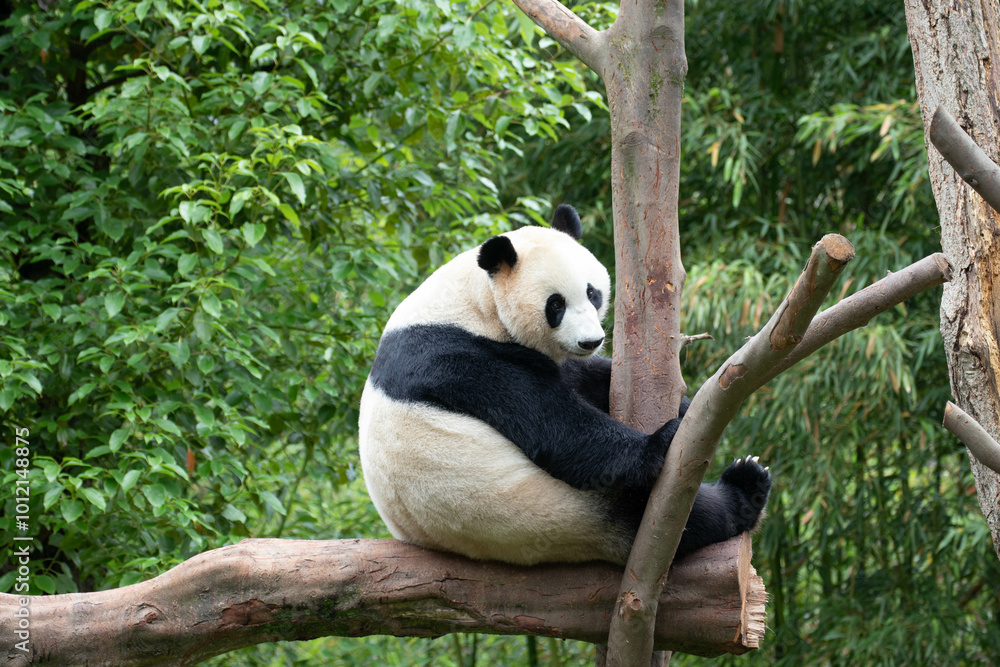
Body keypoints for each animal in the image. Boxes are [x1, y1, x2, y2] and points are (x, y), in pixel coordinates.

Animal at [358, 205, 771, 566]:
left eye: (592, 292)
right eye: (555, 305)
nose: (590, 341)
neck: (476, 302)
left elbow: (579, 379)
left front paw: (687, 405)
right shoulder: (460, 357)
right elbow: (555, 426)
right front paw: (665, 437)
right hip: (569, 509)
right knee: (679, 515)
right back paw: (745, 488)